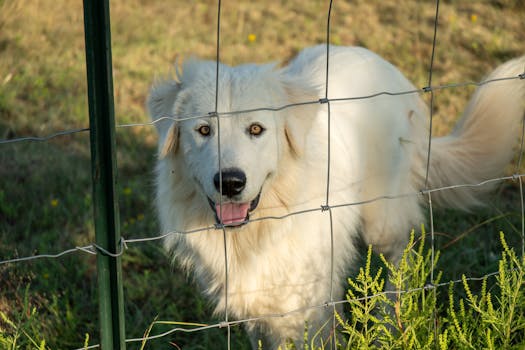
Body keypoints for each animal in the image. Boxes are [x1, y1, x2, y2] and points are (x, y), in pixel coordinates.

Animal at [147, 45, 524, 348]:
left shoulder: (309, 308)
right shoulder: (256, 308)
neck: (265, 226)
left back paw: (389, 323)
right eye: (204, 130)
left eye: (256, 129)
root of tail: (380, 62)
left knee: (402, 255)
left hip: (381, 220)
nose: (230, 182)